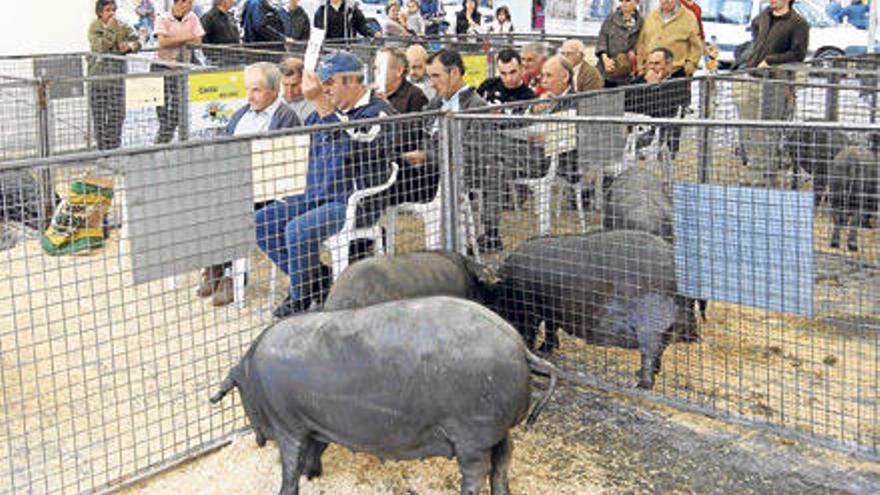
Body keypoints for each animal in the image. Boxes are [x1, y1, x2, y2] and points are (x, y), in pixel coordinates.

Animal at [211, 298, 556, 495]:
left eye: (239, 391)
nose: (259, 439)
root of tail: (519, 347)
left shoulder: (287, 423)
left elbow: (290, 463)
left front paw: (291, 485)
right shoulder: (314, 421)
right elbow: (315, 448)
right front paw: (314, 475)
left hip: (473, 431)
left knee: (476, 473)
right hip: (497, 429)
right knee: (503, 462)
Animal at [492, 231, 696, 390]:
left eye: (498, 305)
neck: (510, 288)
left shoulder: (531, 306)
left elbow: (532, 330)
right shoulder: (551, 308)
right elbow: (551, 326)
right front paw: (546, 349)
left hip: (651, 321)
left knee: (651, 350)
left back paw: (640, 384)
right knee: (659, 349)